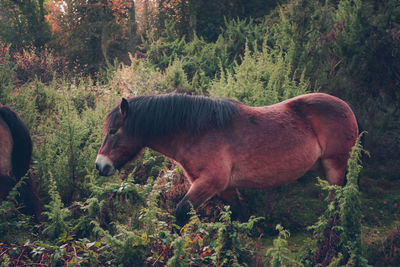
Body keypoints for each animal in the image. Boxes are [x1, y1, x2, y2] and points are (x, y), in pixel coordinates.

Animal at [96, 93, 360, 226]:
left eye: (113, 131)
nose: (100, 165)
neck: (197, 131)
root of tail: (346, 106)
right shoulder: (224, 188)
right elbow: (240, 216)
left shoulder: (210, 182)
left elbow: (181, 212)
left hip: (336, 165)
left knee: (337, 201)